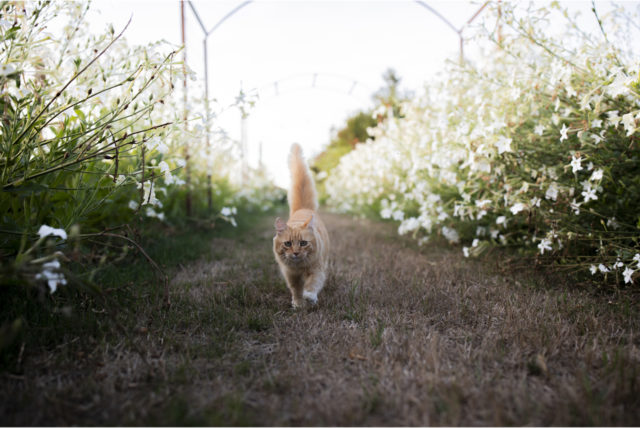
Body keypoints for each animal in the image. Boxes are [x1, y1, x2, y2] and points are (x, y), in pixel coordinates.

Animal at [272, 143, 330, 308]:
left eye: (303, 243)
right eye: (288, 243)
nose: (296, 253)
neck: (299, 268)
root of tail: (303, 208)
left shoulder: (317, 269)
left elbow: (312, 284)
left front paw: (309, 296)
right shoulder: (291, 276)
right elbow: (296, 291)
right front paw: (298, 304)